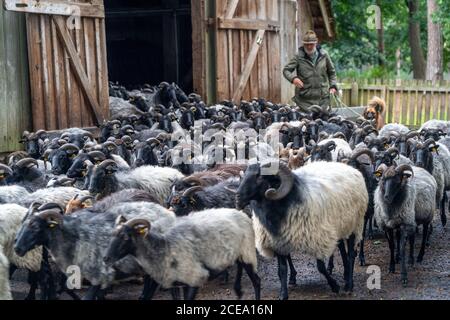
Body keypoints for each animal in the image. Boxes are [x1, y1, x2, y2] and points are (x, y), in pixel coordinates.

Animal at [14, 200, 176, 300]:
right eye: (22, 223)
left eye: (35, 227)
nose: (17, 248)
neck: (74, 236)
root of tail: (168, 213)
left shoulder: (100, 274)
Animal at [103, 208, 260, 300]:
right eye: (112, 235)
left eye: (125, 237)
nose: (106, 258)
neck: (163, 247)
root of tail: (241, 213)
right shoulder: (175, 284)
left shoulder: (195, 278)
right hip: (239, 254)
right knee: (239, 266)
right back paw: (238, 291)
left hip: (248, 252)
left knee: (256, 280)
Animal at [234, 161, 368, 298]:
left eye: (260, 177)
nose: (237, 197)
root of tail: (349, 167)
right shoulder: (277, 242)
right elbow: (282, 269)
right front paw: (283, 294)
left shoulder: (319, 238)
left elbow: (321, 267)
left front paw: (335, 286)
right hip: (340, 226)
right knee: (342, 249)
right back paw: (345, 275)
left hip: (355, 223)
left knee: (351, 253)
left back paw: (349, 285)